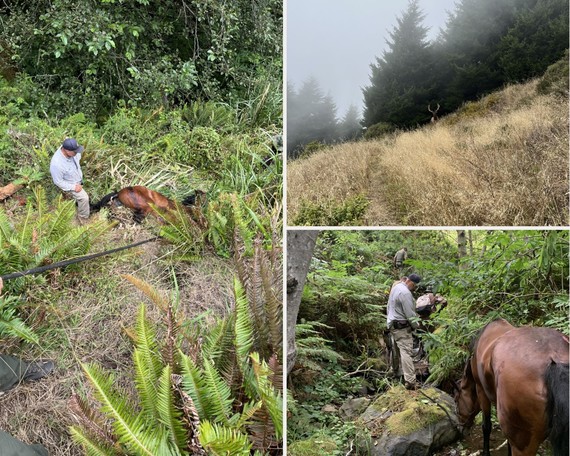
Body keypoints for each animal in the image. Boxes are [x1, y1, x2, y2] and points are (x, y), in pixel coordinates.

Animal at [452, 320, 568, 456]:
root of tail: (554, 359)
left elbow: (486, 426)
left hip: (523, 444)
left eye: (456, 400)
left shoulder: (481, 391)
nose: (459, 428)